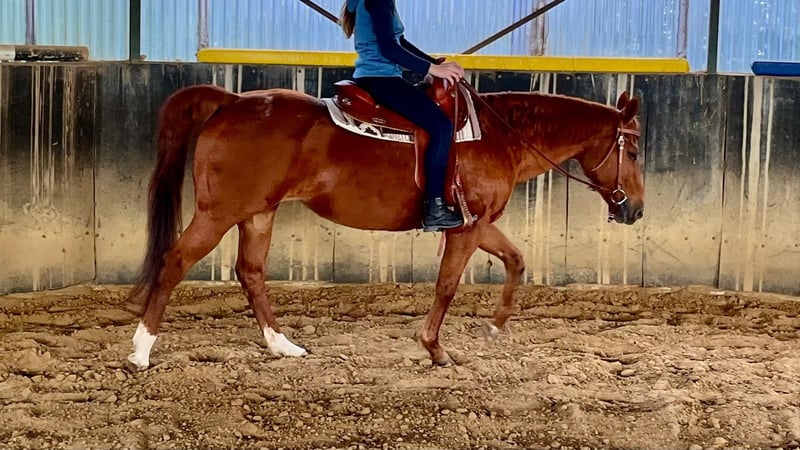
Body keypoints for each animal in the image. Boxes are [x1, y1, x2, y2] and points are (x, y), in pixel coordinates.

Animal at [126, 80, 643, 370]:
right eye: (634, 151)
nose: (635, 210)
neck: (499, 136)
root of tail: (230, 100)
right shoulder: (466, 229)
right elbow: (447, 286)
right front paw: (435, 349)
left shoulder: (478, 224)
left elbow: (515, 261)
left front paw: (495, 327)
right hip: (218, 213)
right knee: (174, 262)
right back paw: (141, 352)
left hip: (258, 214)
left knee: (250, 272)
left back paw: (282, 346)